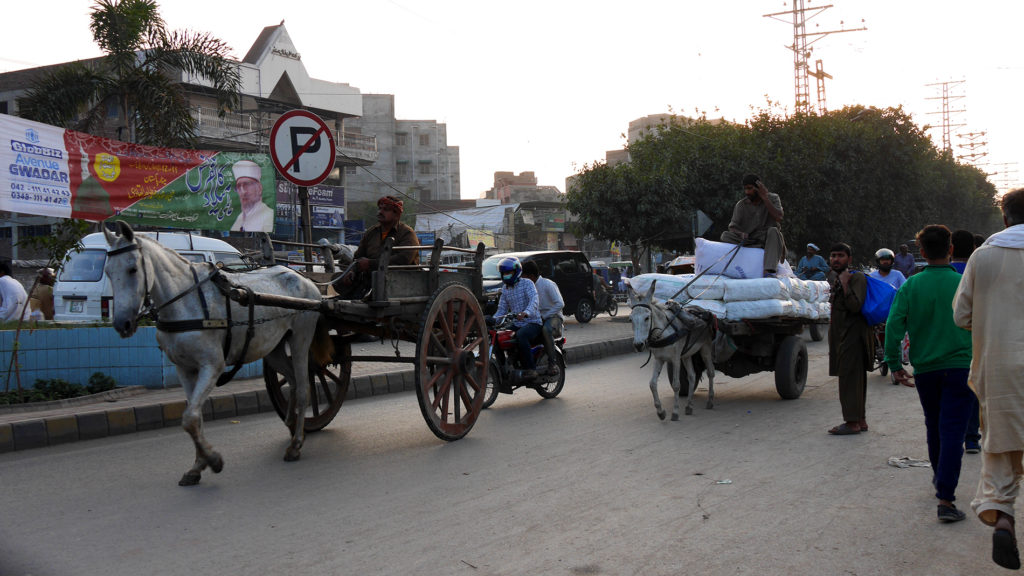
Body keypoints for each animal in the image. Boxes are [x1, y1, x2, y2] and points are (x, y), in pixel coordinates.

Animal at [102, 219, 331, 483]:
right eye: (108, 271)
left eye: (132, 269)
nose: (122, 324)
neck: (185, 302)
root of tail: (306, 280)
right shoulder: (184, 369)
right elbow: (195, 415)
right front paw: (197, 465)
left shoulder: (212, 365)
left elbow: (190, 418)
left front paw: (212, 460)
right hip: (273, 347)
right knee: (292, 380)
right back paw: (292, 424)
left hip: (301, 337)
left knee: (304, 387)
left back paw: (295, 444)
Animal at [626, 280, 716, 420]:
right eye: (631, 319)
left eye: (647, 318)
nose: (638, 345)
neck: (663, 333)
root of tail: (701, 310)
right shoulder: (659, 359)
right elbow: (652, 384)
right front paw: (661, 412)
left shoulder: (675, 359)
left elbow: (676, 385)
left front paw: (675, 412)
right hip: (686, 355)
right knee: (692, 376)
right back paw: (689, 406)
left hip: (705, 348)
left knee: (711, 372)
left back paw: (710, 401)